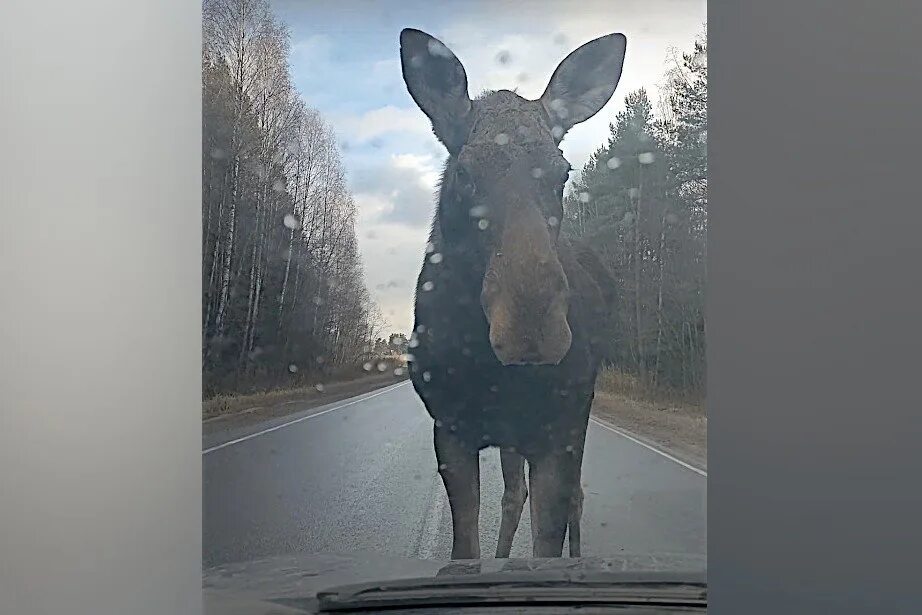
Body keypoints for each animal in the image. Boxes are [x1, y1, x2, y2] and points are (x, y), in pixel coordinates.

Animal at [402, 27, 624, 560]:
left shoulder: (557, 431)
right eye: (464, 172)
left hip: (575, 414)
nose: (531, 329)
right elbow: (464, 547)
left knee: (574, 497)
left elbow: (548, 538)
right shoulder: (450, 429)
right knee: (512, 492)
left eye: (563, 170)